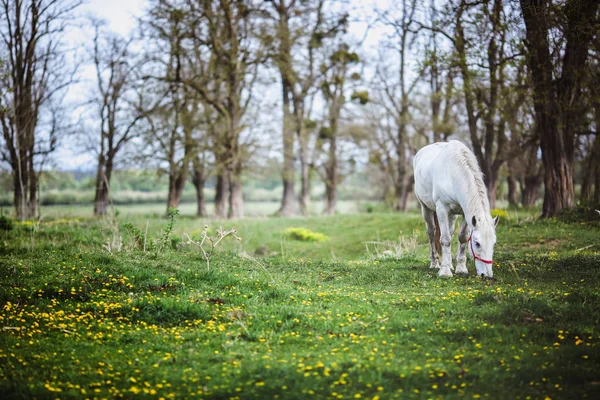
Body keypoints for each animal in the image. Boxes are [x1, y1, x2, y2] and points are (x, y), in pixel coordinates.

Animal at [412, 141, 496, 278]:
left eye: (494, 243)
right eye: (477, 243)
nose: (487, 274)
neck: (453, 174)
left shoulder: (465, 214)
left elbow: (462, 237)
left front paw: (461, 268)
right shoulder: (441, 209)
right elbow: (445, 239)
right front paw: (445, 271)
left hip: (452, 214)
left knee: (450, 232)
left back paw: (450, 264)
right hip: (426, 208)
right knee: (431, 232)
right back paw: (435, 263)